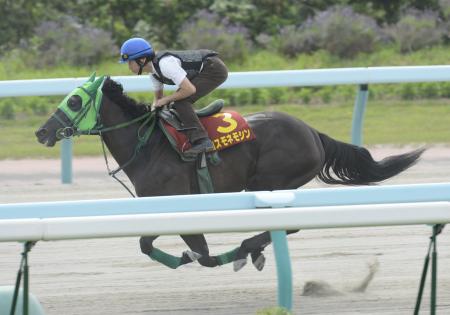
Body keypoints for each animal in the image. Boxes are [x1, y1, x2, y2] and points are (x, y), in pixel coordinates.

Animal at [36, 75, 426, 272]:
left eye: (74, 100)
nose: (41, 132)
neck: (148, 145)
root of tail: (313, 132)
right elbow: (152, 245)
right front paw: (185, 257)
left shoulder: (179, 207)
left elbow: (198, 254)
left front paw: (195, 257)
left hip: (270, 182)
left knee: (287, 225)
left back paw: (247, 248)